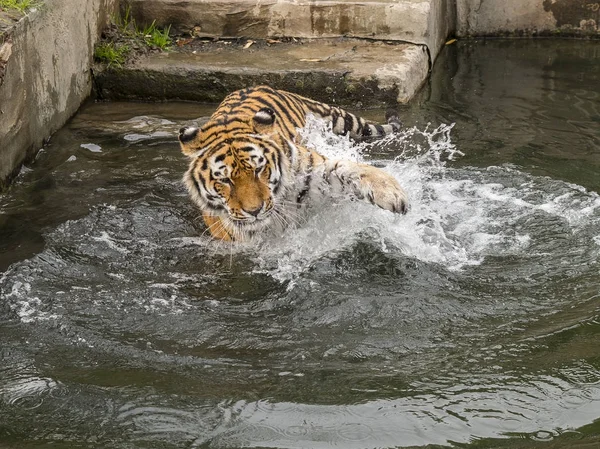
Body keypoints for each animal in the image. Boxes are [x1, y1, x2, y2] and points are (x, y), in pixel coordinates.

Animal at [177, 85, 408, 240]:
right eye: (224, 180)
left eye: (259, 169)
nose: (255, 211)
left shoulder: (313, 172)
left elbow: (348, 168)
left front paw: (392, 195)